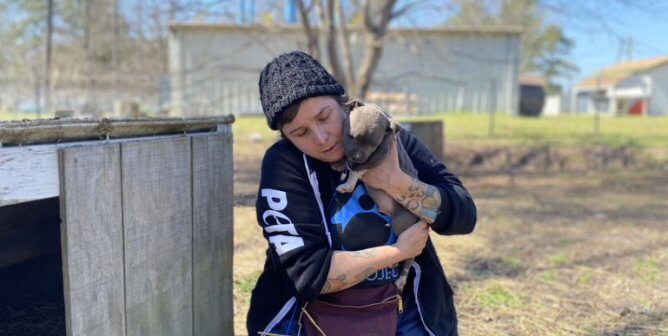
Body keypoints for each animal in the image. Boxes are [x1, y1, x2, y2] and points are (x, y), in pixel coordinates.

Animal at [334, 101, 418, 292]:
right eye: (350, 135)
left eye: (373, 144)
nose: (356, 157)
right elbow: (349, 163)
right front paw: (339, 163)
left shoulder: (379, 155)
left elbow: (358, 170)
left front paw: (348, 184)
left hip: (402, 223)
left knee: (410, 256)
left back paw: (401, 279)